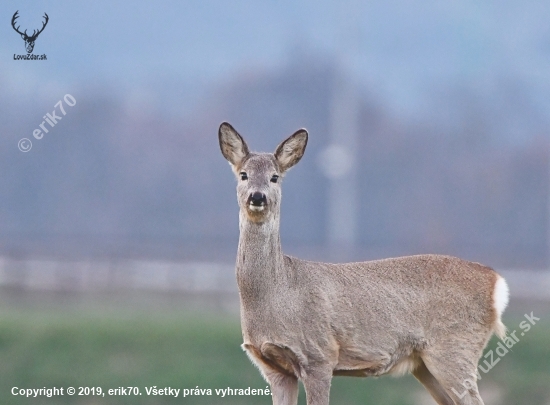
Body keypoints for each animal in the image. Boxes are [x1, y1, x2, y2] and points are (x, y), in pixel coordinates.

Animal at [218, 123, 512, 404]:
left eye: (275, 177)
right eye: (243, 174)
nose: (258, 197)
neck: (278, 291)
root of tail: (496, 282)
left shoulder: (319, 356)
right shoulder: (274, 368)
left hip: (455, 348)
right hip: (425, 363)